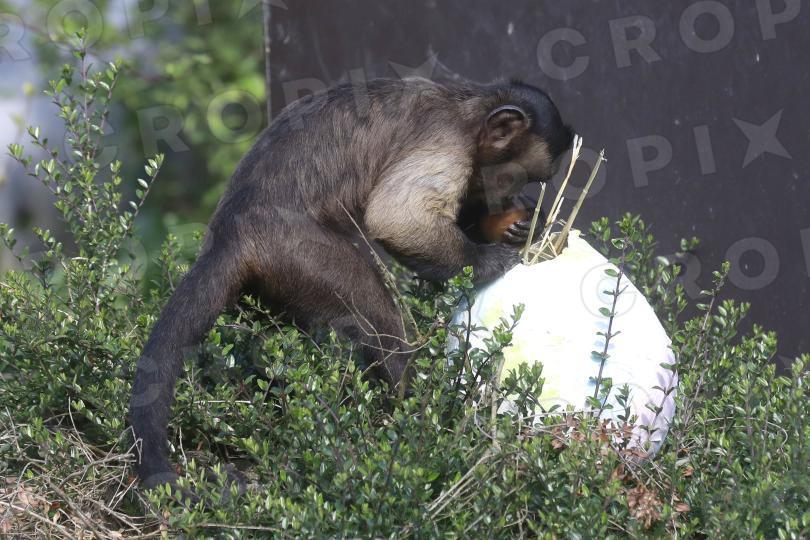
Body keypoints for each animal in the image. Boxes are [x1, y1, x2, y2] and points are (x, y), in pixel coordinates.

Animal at [130, 76, 573, 490]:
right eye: (514, 177)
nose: (510, 198)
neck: (471, 110)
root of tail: (230, 232)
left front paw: (520, 226)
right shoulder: (448, 142)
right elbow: (396, 217)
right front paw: (489, 259)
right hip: (297, 251)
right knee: (374, 310)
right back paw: (417, 418)